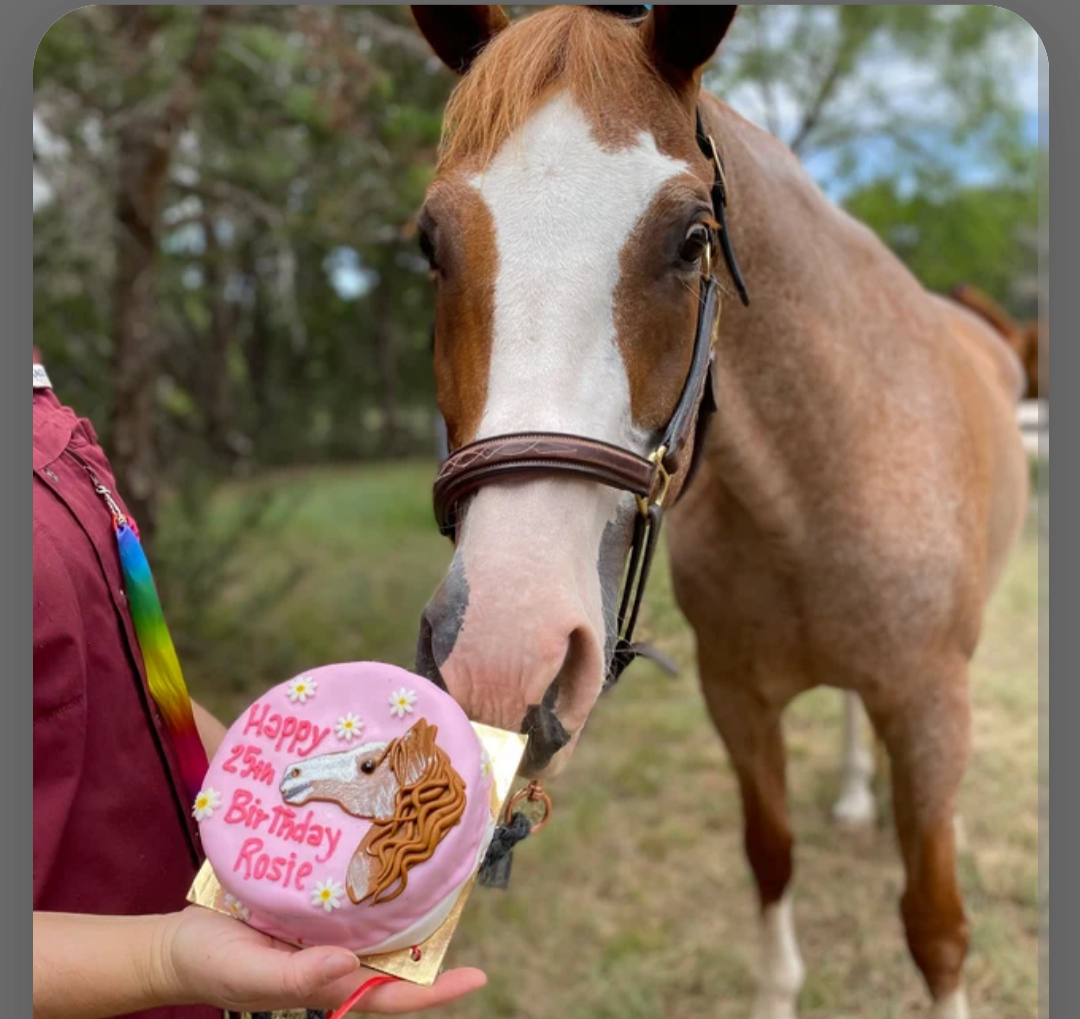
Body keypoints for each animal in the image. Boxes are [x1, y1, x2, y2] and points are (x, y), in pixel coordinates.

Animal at [410, 9, 1028, 1019]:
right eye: (430, 244)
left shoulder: (929, 702)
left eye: (692, 236)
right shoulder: (736, 699)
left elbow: (937, 925)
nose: (502, 655)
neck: (815, 489)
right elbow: (770, 859)